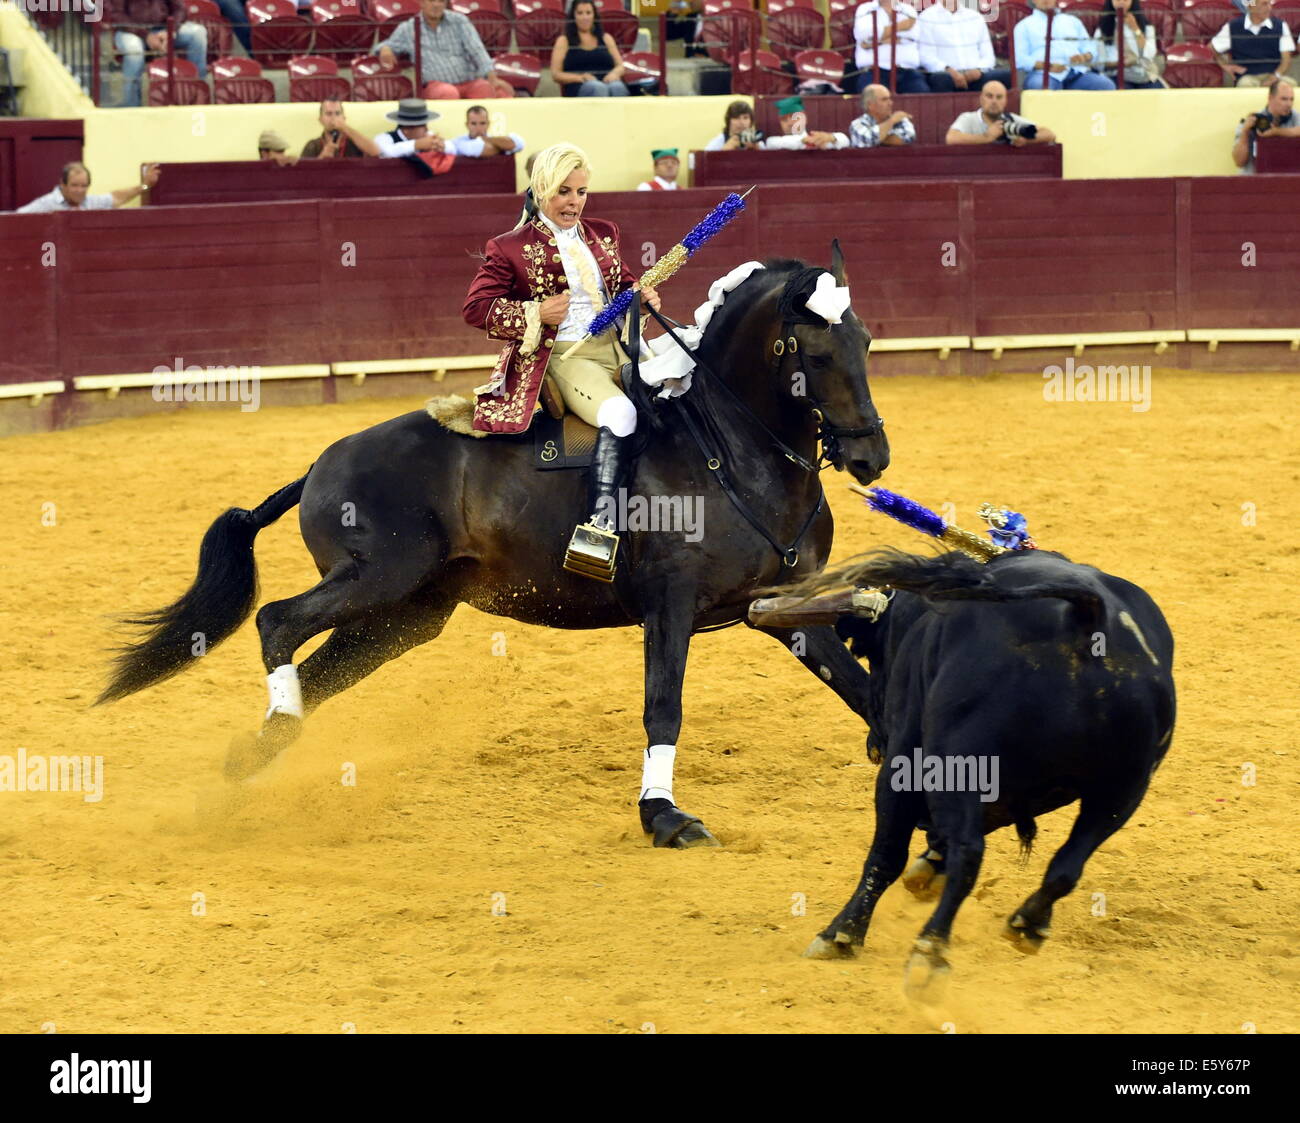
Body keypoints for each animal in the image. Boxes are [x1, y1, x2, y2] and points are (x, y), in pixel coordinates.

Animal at [98, 243, 894, 842]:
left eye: (864, 340)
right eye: (813, 350)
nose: (871, 457)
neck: (729, 451)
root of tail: (321, 465)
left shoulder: (783, 606)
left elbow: (859, 686)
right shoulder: (669, 606)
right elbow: (663, 706)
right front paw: (664, 817)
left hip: (405, 615)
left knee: (316, 665)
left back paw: (257, 752)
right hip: (377, 579)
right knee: (277, 621)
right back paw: (275, 729)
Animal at [774, 548, 1175, 998]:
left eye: (872, 654)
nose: (875, 737)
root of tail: (1088, 614)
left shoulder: (906, 761)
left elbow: (888, 854)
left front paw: (843, 936)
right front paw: (929, 866)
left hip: (958, 760)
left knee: (968, 854)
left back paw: (927, 951)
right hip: (1123, 792)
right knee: (1065, 866)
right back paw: (1027, 925)